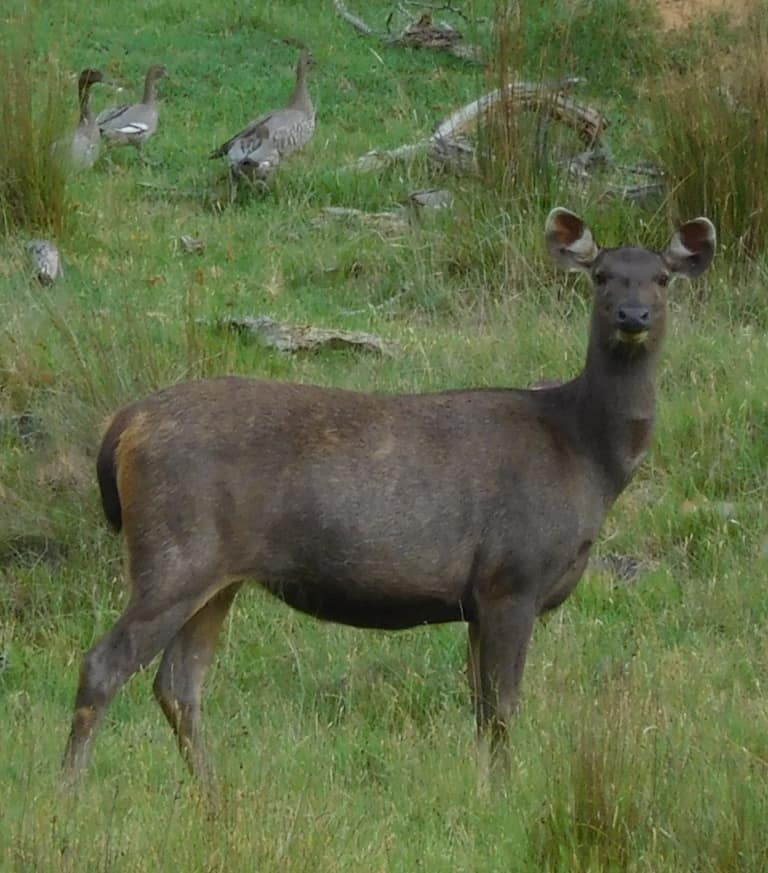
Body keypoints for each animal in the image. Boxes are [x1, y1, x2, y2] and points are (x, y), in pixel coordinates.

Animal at [63, 208, 715, 781]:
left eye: (661, 277)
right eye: (601, 275)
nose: (633, 315)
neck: (586, 458)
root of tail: (125, 425)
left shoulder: (478, 598)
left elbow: (480, 707)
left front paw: (482, 787)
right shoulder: (512, 575)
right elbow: (502, 707)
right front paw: (503, 792)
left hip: (219, 574)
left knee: (178, 683)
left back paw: (213, 795)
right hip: (177, 549)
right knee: (104, 665)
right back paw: (71, 792)